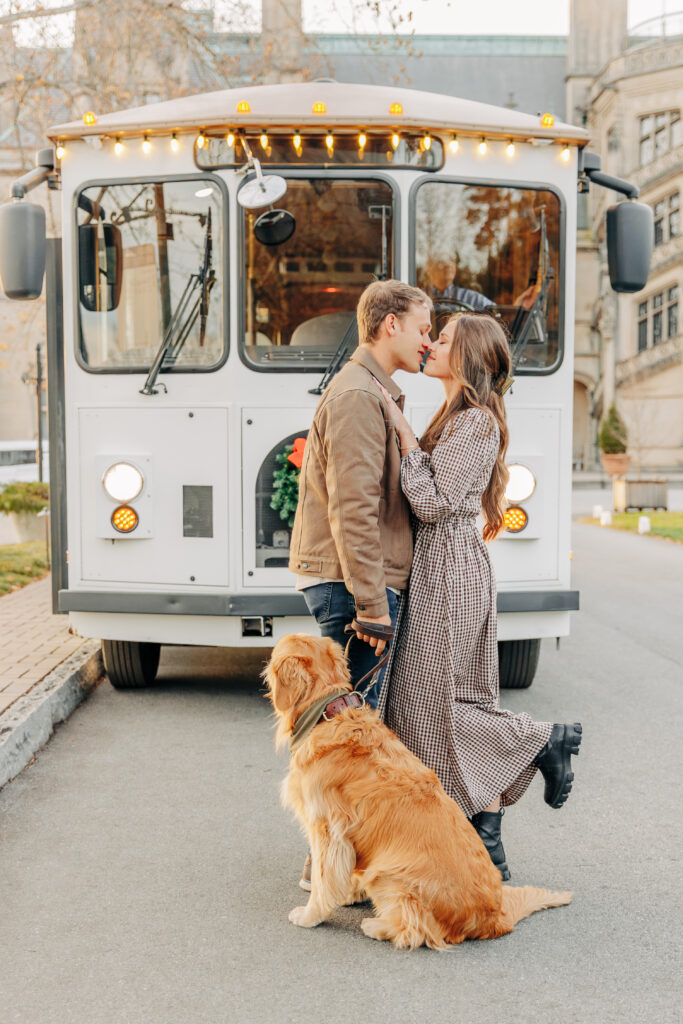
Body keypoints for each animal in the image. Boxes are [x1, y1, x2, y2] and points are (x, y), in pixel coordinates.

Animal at [264, 630, 573, 950]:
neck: (328, 713)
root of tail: (495, 917)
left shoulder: (328, 829)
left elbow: (323, 879)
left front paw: (311, 915)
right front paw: (349, 894)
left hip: (389, 874)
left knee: (415, 928)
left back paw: (377, 925)